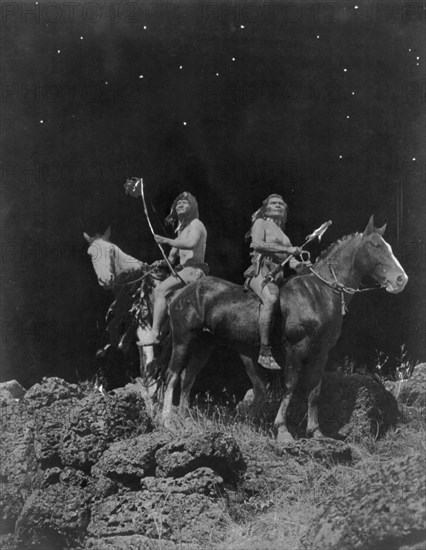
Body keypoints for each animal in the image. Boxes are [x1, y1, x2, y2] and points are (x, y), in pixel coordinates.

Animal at [161, 219, 408, 444]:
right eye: (375, 245)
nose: (401, 279)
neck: (319, 292)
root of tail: (181, 294)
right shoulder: (296, 349)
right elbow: (290, 385)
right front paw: (282, 430)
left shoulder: (321, 353)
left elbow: (315, 390)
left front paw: (316, 432)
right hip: (183, 341)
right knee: (172, 375)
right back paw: (167, 421)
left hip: (204, 345)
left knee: (188, 378)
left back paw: (186, 420)